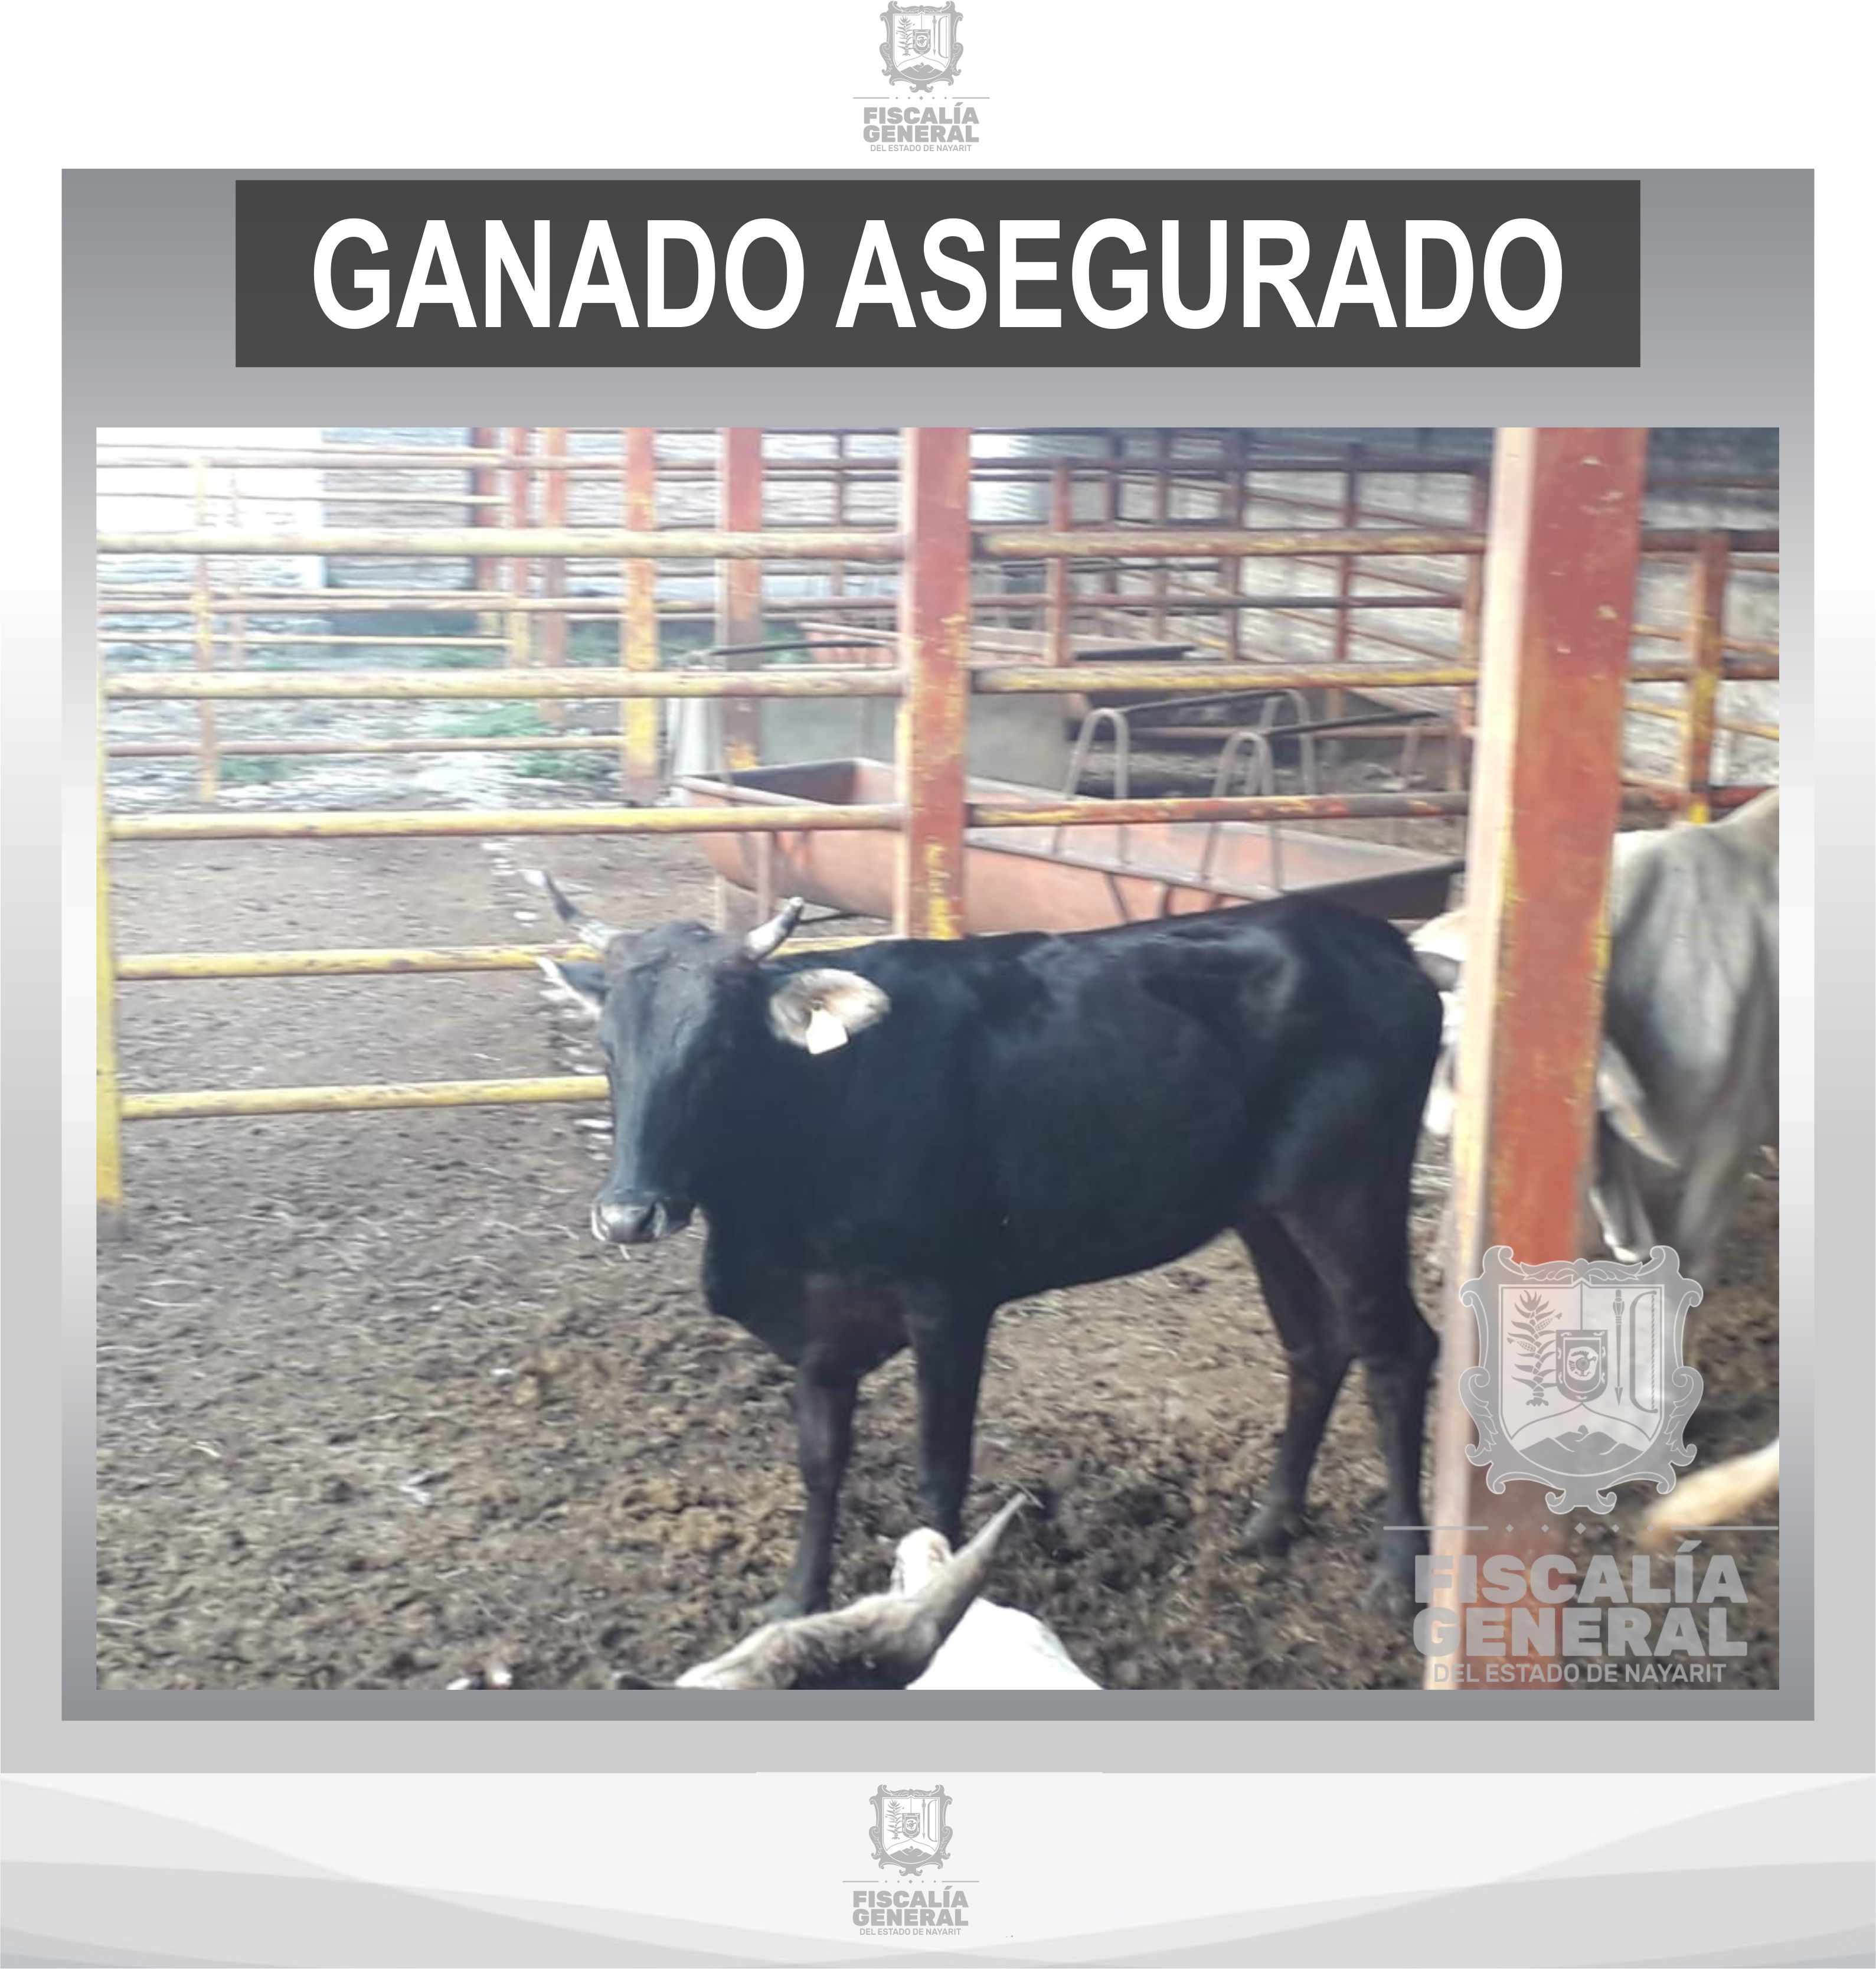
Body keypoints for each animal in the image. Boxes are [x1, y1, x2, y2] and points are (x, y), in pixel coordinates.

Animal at [534, 874, 1444, 1621]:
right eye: (609, 1049)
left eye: (722, 1046)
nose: (629, 1214)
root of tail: (1372, 939)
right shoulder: (821, 1324)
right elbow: (820, 1461)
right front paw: (796, 1600)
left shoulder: (950, 1301)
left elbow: (940, 1468)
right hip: (1267, 1212)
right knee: (1313, 1347)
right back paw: (1271, 1521)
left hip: (1349, 1193)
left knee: (1398, 1349)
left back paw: (1398, 1576)